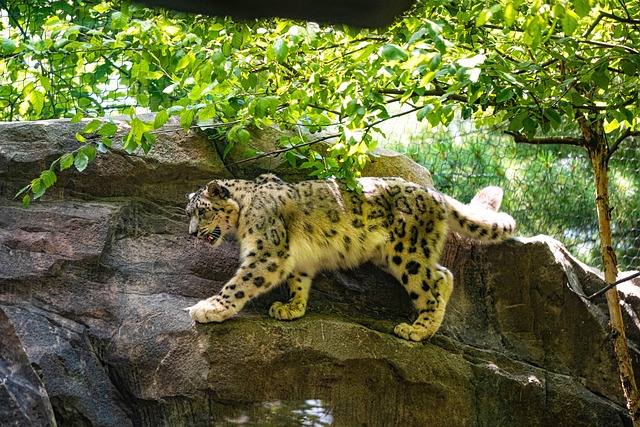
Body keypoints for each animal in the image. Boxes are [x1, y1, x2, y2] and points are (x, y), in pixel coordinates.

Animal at [184, 173, 516, 341]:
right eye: (189, 213)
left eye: (202, 211)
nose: (192, 233)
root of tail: (435, 193)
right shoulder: (296, 259)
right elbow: (298, 280)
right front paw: (292, 307)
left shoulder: (268, 252)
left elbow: (240, 283)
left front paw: (210, 308)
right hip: (392, 255)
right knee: (443, 274)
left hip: (407, 252)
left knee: (431, 284)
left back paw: (418, 329)